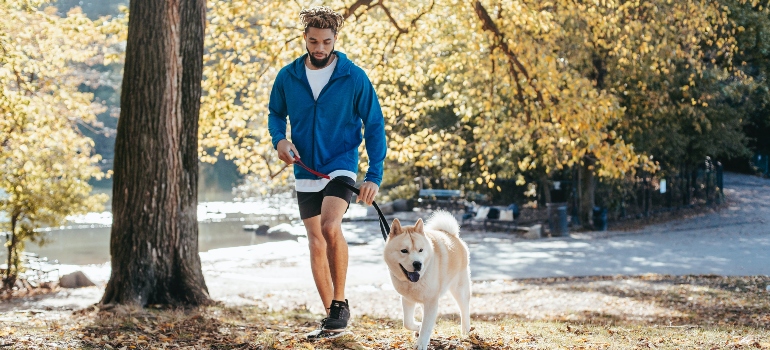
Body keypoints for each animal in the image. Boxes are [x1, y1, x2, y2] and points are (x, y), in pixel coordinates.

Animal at [382, 211, 472, 350]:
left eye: (421, 250)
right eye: (404, 251)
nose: (418, 264)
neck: (413, 282)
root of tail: (452, 235)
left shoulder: (431, 301)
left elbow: (426, 326)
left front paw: (421, 343)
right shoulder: (407, 299)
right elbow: (407, 322)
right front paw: (418, 326)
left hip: (459, 289)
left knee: (464, 309)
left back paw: (465, 331)